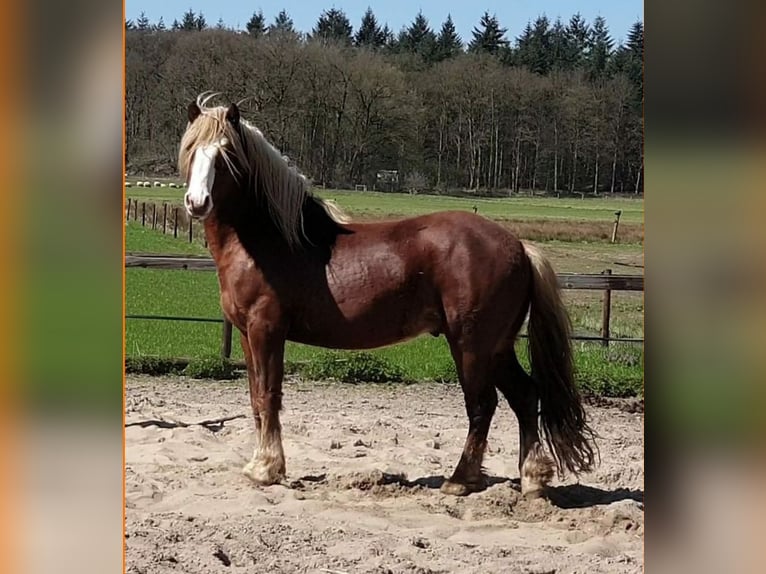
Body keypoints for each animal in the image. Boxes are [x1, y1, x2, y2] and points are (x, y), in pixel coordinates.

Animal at [177, 94, 596, 500]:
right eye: (192, 150)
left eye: (226, 155)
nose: (197, 203)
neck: (272, 241)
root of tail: (519, 246)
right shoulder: (247, 334)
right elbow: (254, 398)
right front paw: (259, 465)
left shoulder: (266, 331)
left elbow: (268, 395)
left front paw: (267, 470)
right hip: (498, 346)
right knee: (525, 397)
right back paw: (532, 480)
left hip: (471, 346)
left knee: (483, 405)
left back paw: (460, 481)